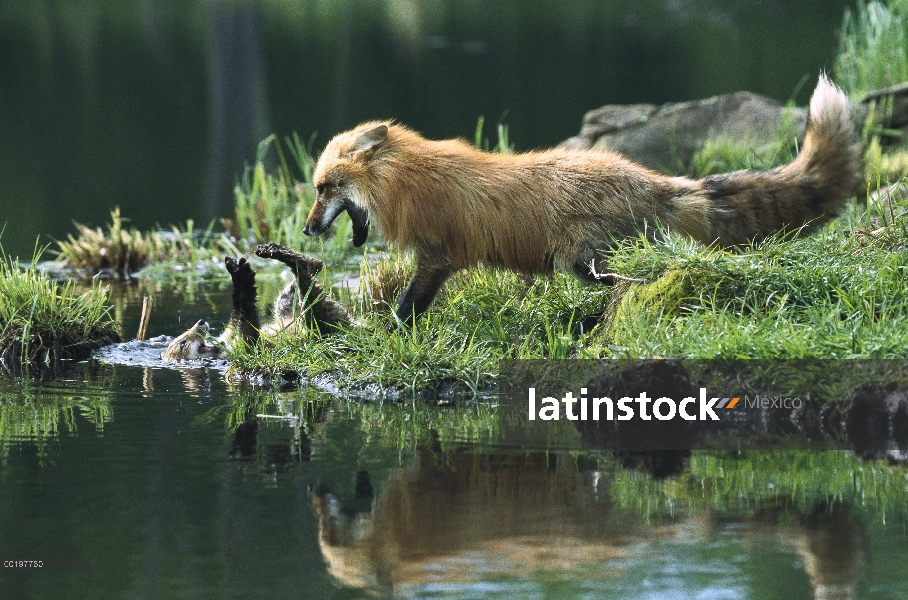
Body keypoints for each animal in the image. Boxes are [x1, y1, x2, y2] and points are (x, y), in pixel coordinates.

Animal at [304, 78, 860, 328]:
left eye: (323, 188)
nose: (307, 231)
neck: (404, 180)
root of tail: (653, 181)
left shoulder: (437, 257)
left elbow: (405, 308)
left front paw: (386, 334)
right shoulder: (437, 259)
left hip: (584, 262)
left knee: (635, 281)